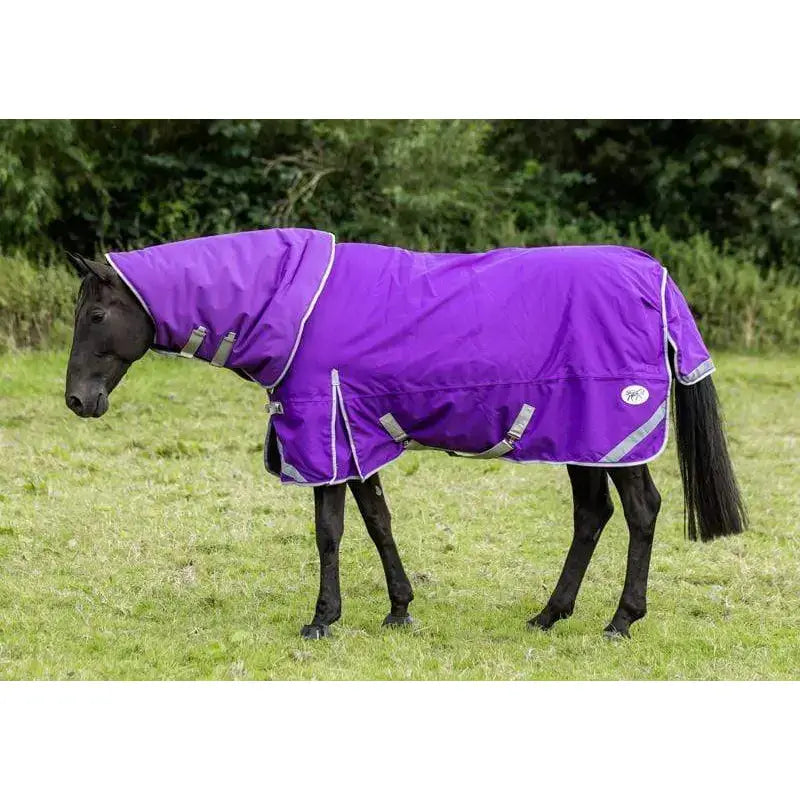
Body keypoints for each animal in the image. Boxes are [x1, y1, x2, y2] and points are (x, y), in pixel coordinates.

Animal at [63, 237, 747, 640]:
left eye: (96, 315)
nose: (77, 401)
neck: (297, 305)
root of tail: (654, 275)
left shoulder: (325, 434)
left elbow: (330, 531)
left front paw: (322, 620)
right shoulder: (354, 435)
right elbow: (377, 522)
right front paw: (399, 609)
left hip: (613, 431)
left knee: (641, 511)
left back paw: (621, 620)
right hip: (581, 438)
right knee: (592, 515)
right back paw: (550, 614)